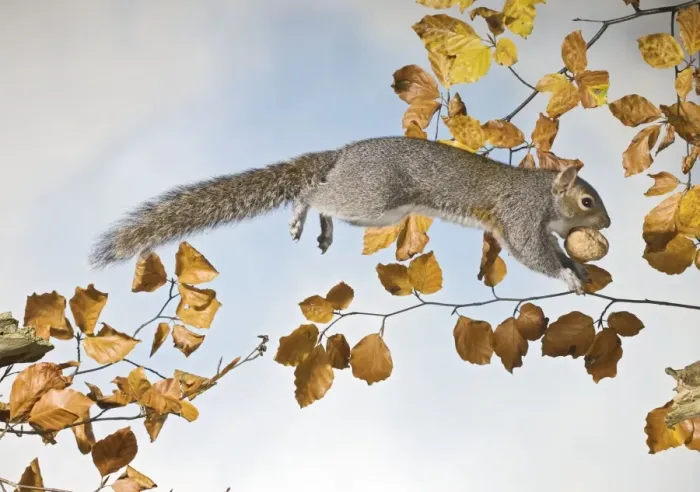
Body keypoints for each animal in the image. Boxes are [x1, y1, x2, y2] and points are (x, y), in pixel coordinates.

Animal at [89, 136, 611, 294]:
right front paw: (568, 275)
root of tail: (343, 154)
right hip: (371, 197)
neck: (543, 193)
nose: (606, 225)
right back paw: (302, 214)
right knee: (313, 193)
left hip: (372, 213)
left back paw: (319, 228)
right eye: (588, 202)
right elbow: (531, 253)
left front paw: (578, 264)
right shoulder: (520, 216)